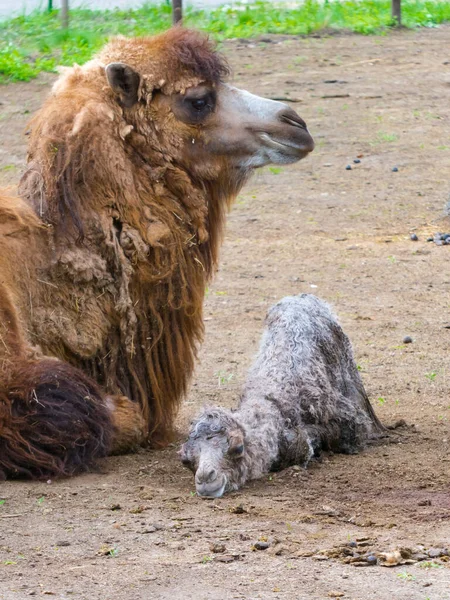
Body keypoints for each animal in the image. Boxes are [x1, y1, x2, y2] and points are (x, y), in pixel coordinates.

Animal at [181, 294, 384, 496]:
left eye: (238, 448)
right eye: (185, 460)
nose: (206, 479)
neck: (275, 399)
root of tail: (301, 297)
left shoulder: (348, 421)